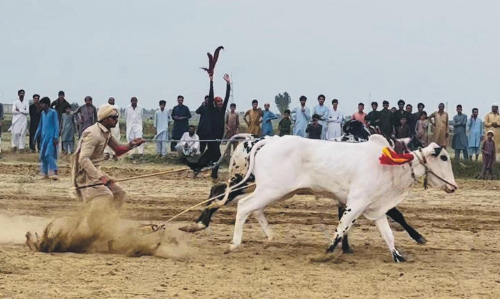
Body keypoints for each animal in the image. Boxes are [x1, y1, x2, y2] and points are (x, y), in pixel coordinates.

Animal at [226, 135, 458, 262]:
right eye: (443, 157)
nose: (454, 186)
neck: (388, 166)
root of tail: (267, 141)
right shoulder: (355, 204)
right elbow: (341, 229)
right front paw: (327, 253)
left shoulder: (376, 208)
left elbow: (388, 235)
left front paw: (398, 256)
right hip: (271, 189)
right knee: (244, 205)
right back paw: (234, 244)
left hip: (276, 191)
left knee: (254, 208)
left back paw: (269, 236)